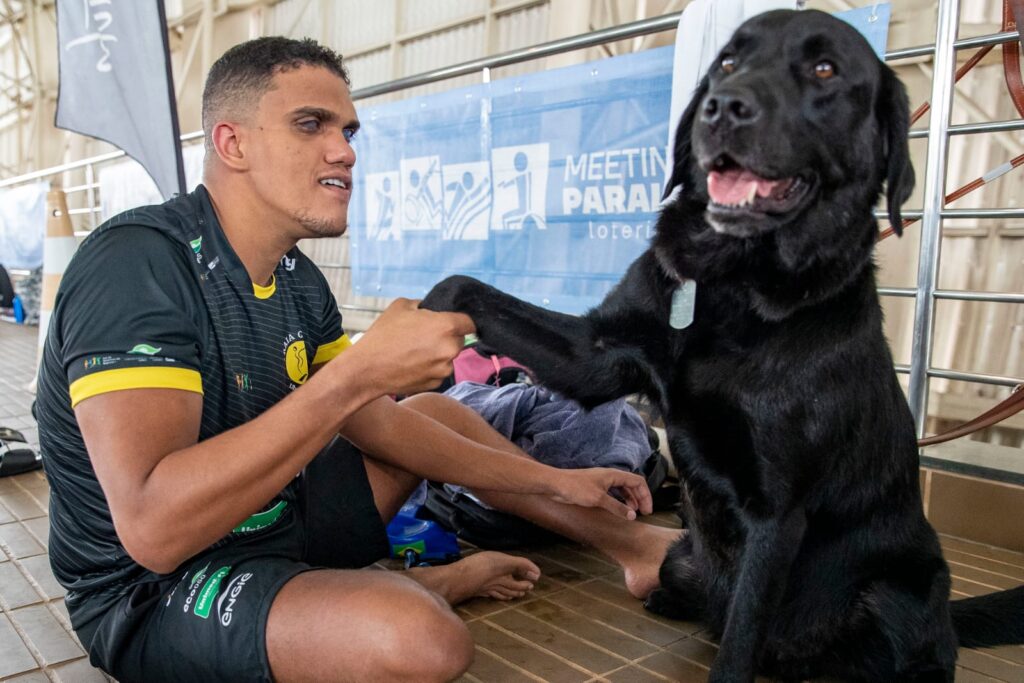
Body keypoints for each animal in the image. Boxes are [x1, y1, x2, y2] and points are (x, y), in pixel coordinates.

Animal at [419, 10, 1019, 683]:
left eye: (825, 69)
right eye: (728, 61)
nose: (721, 106)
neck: (735, 284)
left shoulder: (776, 515)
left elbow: (739, 638)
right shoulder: (598, 354)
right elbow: (465, 288)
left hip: (897, 590)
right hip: (686, 555)